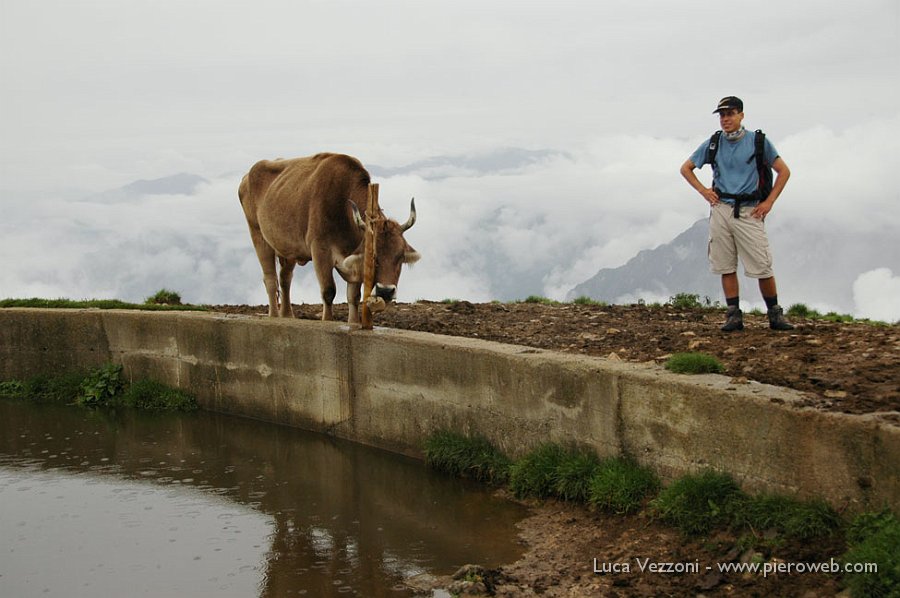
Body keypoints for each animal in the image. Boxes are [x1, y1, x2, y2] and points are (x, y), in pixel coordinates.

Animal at [239, 155, 422, 324]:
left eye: (400, 256)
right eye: (373, 256)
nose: (385, 291)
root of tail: (247, 177)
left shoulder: (353, 262)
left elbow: (354, 296)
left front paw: (353, 323)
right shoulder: (320, 250)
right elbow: (328, 292)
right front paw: (327, 321)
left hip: (288, 248)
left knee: (285, 278)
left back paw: (287, 316)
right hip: (258, 235)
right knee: (270, 279)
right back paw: (274, 316)